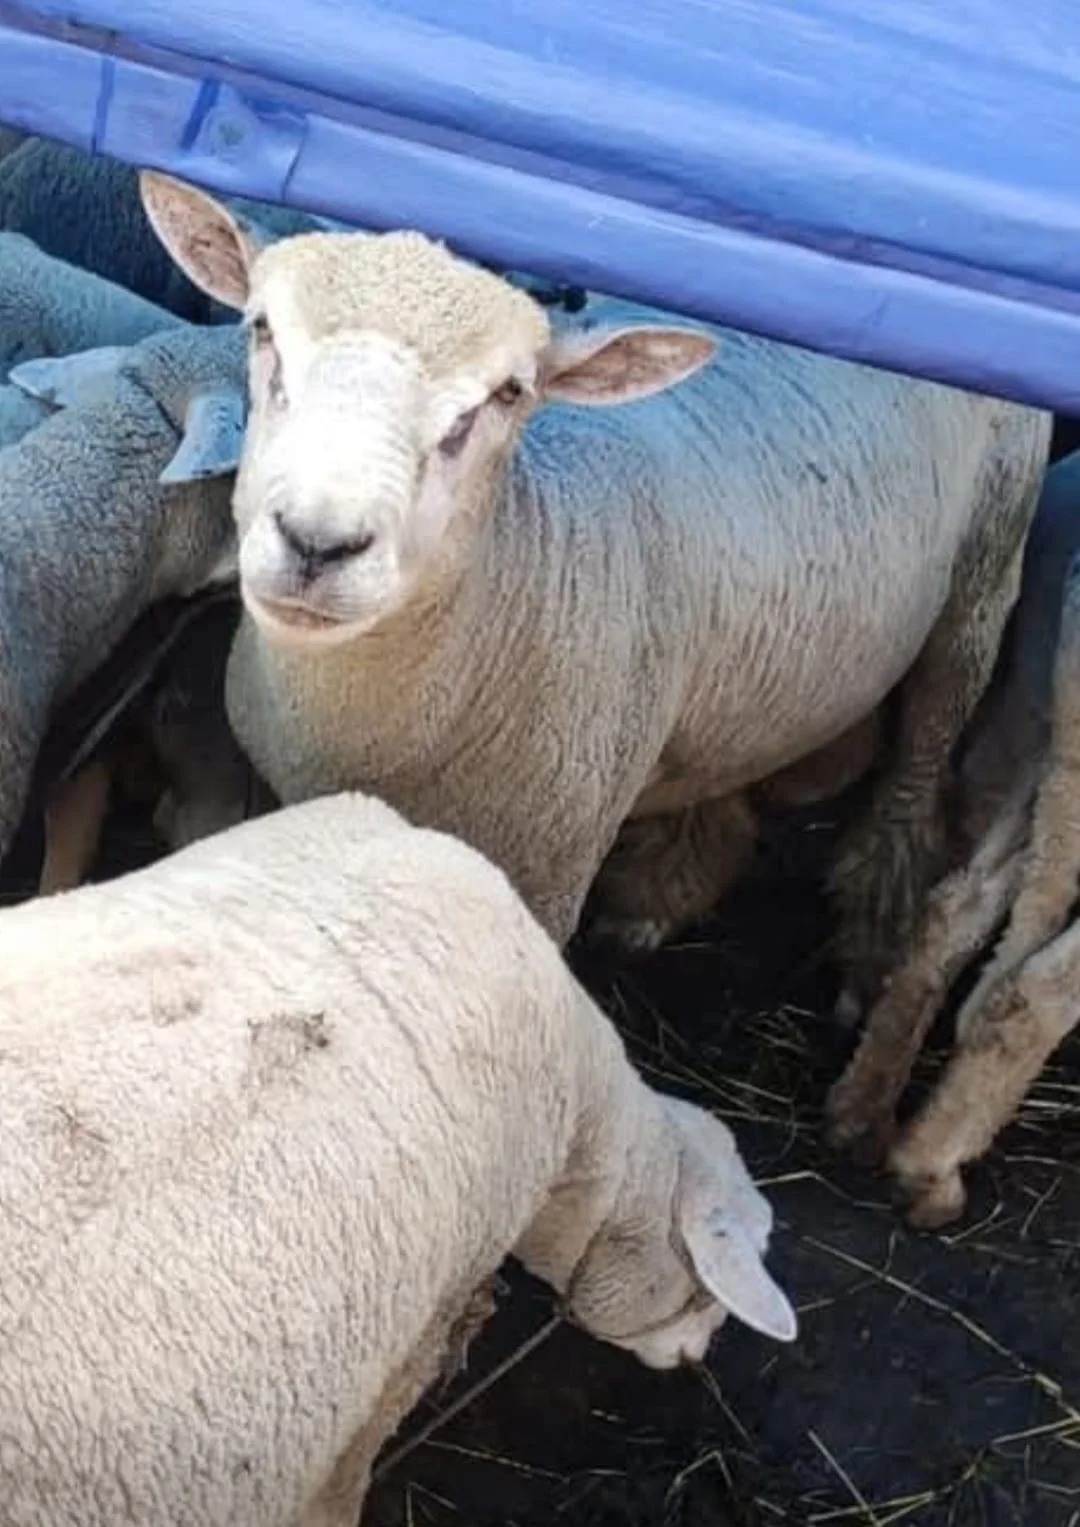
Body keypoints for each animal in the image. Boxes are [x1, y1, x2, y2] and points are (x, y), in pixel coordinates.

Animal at [140, 172, 1051, 1009]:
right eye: (262, 329)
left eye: (509, 393)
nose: (318, 541)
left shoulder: (545, 870)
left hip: (986, 569)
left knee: (921, 760)